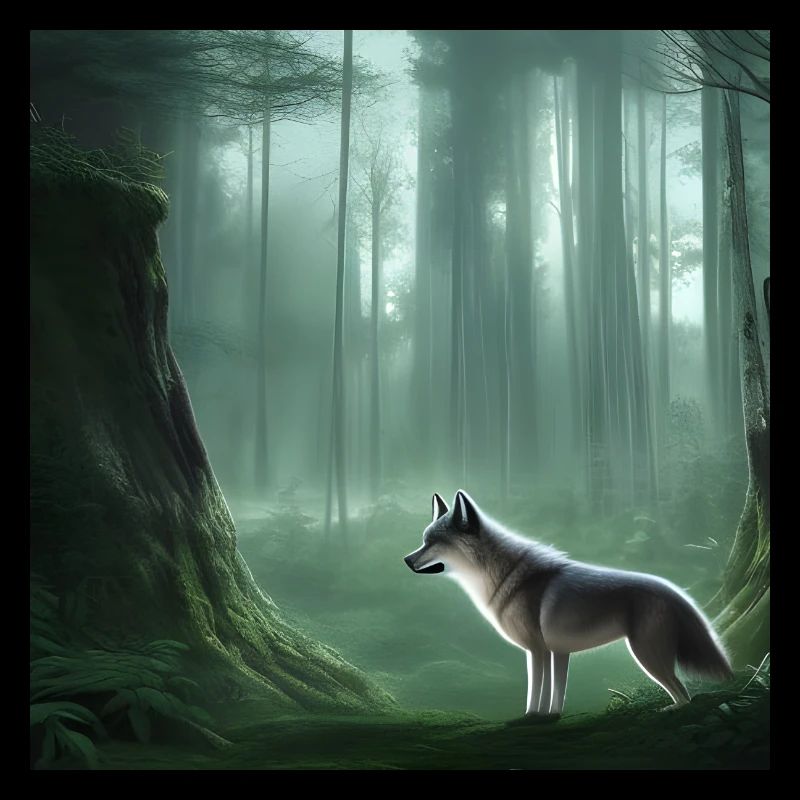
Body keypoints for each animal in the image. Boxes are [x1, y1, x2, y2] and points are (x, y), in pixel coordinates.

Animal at [404, 490, 733, 718]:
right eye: (423, 539)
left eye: (433, 542)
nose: (406, 559)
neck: (506, 576)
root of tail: (676, 591)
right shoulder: (556, 652)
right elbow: (556, 692)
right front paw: (550, 716)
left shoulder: (537, 651)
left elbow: (535, 691)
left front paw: (530, 718)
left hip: (646, 657)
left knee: (683, 694)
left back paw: (671, 711)